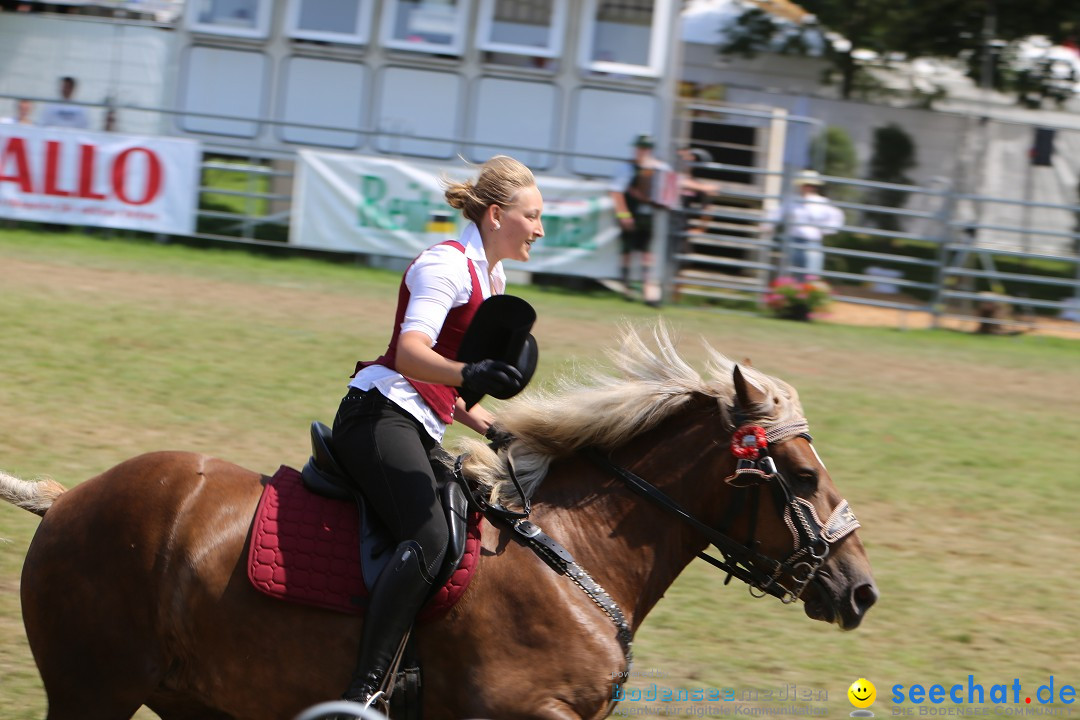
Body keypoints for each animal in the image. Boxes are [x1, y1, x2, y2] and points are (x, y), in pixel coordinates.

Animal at [0, 328, 876, 720]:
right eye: (802, 476)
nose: (860, 589)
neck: (573, 554)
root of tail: (69, 501)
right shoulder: (519, 712)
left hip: (191, 699)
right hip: (94, 691)